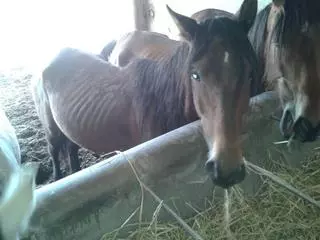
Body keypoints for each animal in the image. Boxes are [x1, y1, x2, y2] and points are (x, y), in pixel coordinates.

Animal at [32, 2, 258, 188]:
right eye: (195, 75)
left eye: (249, 73)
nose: (227, 171)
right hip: (51, 131)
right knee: (54, 151)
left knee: (71, 148)